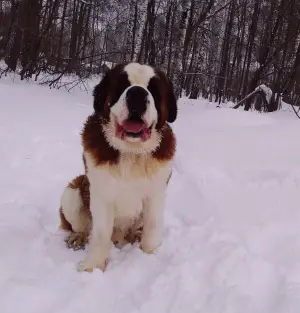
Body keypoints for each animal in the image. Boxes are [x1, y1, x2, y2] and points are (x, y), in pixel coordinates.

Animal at [58, 62, 177, 272]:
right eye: (122, 85)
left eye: (154, 90)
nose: (137, 93)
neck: (131, 152)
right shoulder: (101, 194)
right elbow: (100, 233)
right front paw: (93, 266)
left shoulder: (156, 193)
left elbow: (152, 227)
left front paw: (149, 256)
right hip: (74, 190)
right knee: (81, 226)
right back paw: (77, 237)